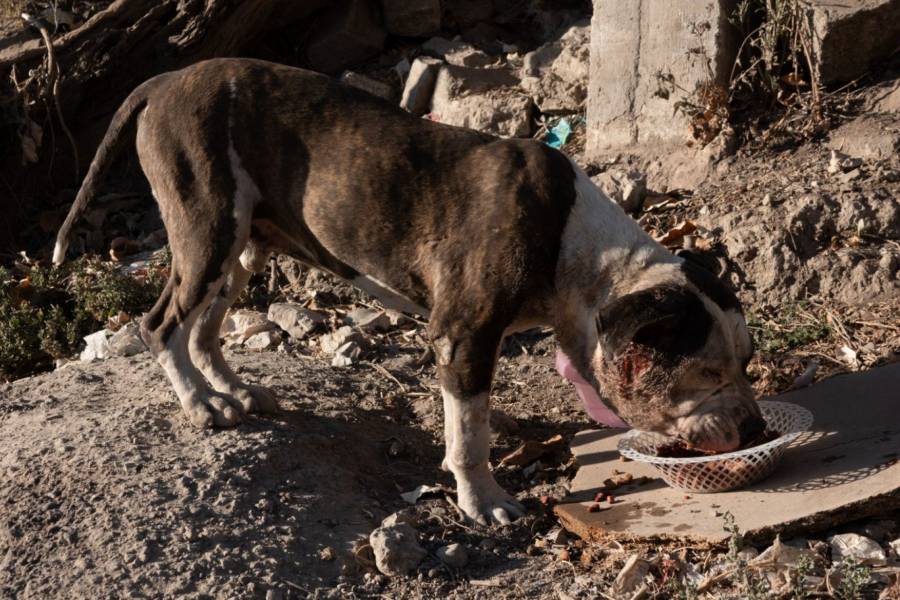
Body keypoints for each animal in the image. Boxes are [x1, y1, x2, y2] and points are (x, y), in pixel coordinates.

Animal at [52, 57, 764, 524]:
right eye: (704, 374)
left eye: (748, 362)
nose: (755, 425)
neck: (587, 258)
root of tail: (164, 80)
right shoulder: (464, 334)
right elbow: (470, 436)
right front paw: (485, 501)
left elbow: (469, 416)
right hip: (206, 226)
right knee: (163, 324)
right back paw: (201, 406)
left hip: (240, 247)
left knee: (203, 327)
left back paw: (234, 392)